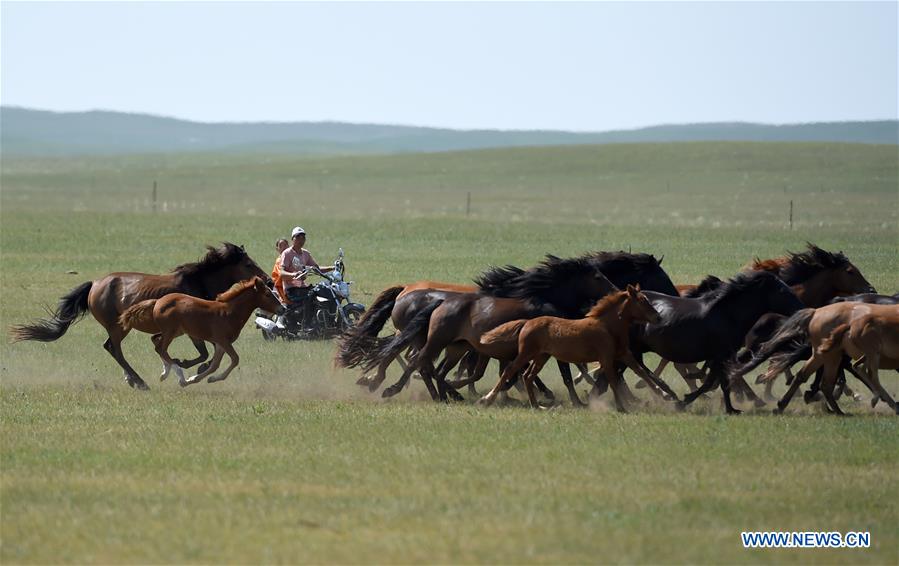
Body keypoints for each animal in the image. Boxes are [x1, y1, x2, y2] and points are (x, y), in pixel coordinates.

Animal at [119, 278, 282, 388]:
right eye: (268, 294)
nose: (283, 309)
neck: (229, 313)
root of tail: (157, 302)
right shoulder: (222, 340)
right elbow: (235, 359)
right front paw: (190, 380)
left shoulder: (220, 344)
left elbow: (215, 365)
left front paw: (202, 379)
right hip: (171, 331)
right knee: (161, 348)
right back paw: (180, 376)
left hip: (175, 331)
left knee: (156, 341)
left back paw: (165, 373)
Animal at [482, 284, 664, 412]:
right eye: (642, 301)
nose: (658, 317)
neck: (608, 326)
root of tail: (527, 322)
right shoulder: (606, 357)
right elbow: (613, 380)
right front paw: (621, 407)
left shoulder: (624, 354)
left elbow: (641, 371)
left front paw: (662, 394)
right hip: (527, 353)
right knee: (510, 370)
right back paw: (487, 399)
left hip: (542, 356)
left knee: (528, 376)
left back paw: (537, 406)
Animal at [628, 270, 804, 412]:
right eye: (783, 291)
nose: (801, 309)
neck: (727, 314)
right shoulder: (720, 354)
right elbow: (717, 382)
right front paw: (685, 402)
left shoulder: (722, 356)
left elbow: (714, 382)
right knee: (637, 369)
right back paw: (662, 393)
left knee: (638, 368)